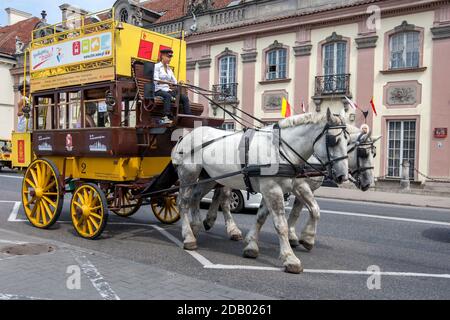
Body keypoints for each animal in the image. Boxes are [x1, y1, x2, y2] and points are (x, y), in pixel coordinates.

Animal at [171, 109, 350, 272]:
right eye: (334, 140)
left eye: (347, 141)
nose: (343, 176)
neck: (280, 149)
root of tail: (185, 136)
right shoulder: (272, 189)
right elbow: (281, 225)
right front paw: (290, 258)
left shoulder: (281, 188)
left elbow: (264, 217)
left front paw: (252, 245)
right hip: (188, 175)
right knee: (183, 202)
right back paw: (188, 236)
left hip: (209, 177)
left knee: (196, 197)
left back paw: (195, 226)